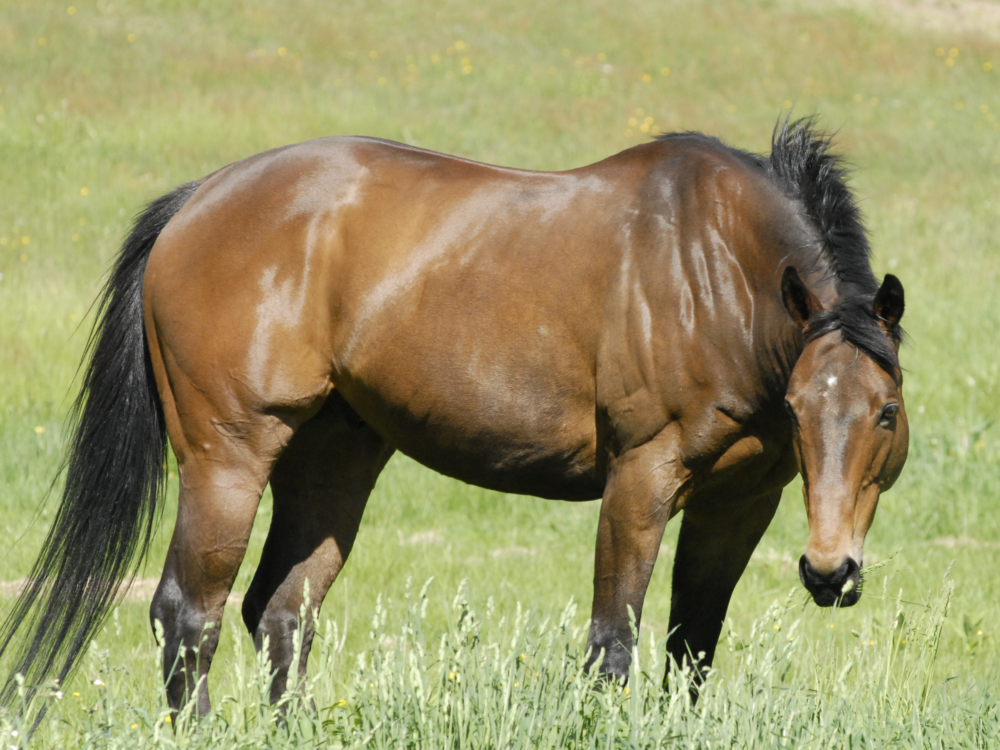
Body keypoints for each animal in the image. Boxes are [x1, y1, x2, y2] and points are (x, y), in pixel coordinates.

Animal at [0, 117, 908, 713]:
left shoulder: (739, 501)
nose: (830, 571)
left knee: (282, 612)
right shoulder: (640, 481)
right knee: (188, 614)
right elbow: (611, 647)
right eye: (800, 406)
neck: (716, 277)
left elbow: (691, 649)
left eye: (885, 413)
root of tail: (199, 199)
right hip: (229, 456)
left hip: (334, 458)